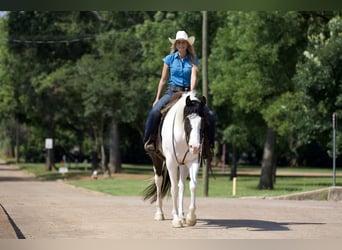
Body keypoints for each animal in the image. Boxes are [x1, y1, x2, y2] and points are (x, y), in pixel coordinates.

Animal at [142, 91, 206, 228]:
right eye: (187, 121)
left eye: (203, 122)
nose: (195, 147)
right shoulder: (171, 163)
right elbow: (174, 190)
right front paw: (176, 219)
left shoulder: (193, 162)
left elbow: (192, 186)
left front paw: (190, 217)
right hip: (157, 160)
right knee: (159, 182)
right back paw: (160, 213)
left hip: (182, 165)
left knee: (181, 185)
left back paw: (182, 215)